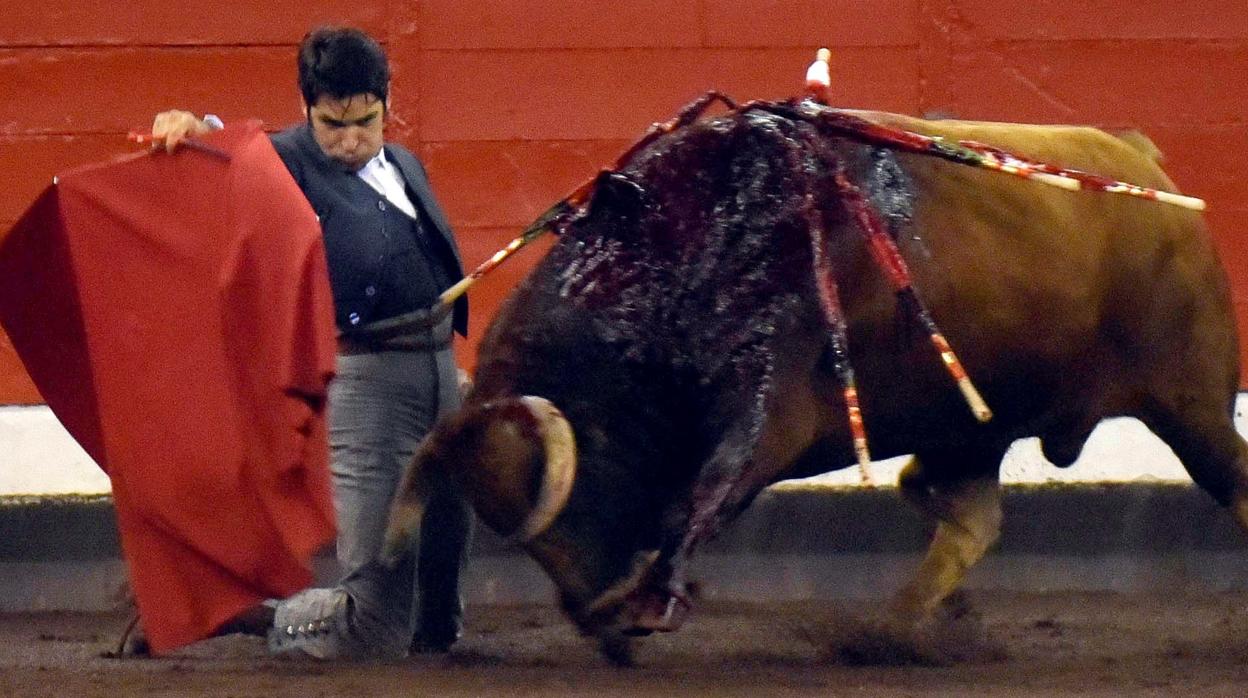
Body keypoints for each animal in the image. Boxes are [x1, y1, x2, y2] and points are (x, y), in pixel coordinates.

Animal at [379, 106, 1248, 664]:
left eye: (574, 493)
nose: (604, 630)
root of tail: (1139, 156)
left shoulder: (767, 407)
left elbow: (702, 497)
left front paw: (657, 598)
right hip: (971, 426)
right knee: (967, 517)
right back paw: (891, 630)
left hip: (1193, 403)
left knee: (1233, 481)